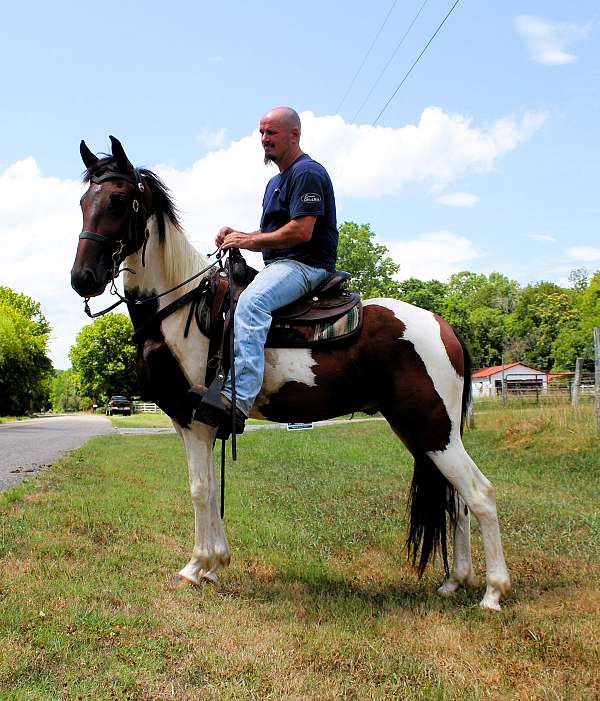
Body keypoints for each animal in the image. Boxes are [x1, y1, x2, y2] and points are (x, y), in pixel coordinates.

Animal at [70, 135, 510, 608]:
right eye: (83, 201)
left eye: (119, 200)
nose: (83, 278)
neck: (179, 308)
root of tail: (444, 326)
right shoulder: (189, 423)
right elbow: (208, 488)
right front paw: (215, 565)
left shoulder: (196, 420)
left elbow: (200, 489)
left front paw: (196, 566)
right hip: (426, 431)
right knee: (457, 499)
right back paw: (455, 581)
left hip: (432, 428)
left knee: (480, 494)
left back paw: (493, 592)